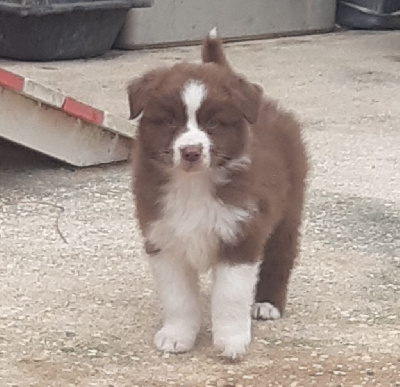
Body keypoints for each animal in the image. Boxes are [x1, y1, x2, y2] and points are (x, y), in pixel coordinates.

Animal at [129, 28, 310, 360]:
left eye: (212, 123)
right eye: (170, 121)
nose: (190, 151)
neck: (193, 185)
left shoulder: (240, 235)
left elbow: (229, 297)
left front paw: (231, 341)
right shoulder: (163, 239)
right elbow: (177, 298)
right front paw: (177, 335)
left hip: (289, 209)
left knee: (282, 255)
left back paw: (268, 303)